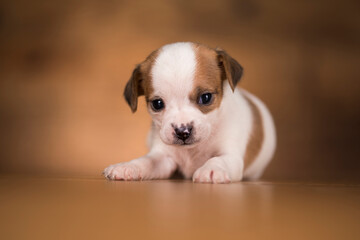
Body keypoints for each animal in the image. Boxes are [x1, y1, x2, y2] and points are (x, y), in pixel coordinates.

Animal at [103, 41, 276, 184]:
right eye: (157, 104)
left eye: (205, 98)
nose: (182, 131)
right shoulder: (163, 157)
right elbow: (147, 161)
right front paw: (128, 166)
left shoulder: (232, 156)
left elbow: (219, 160)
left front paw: (211, 169)